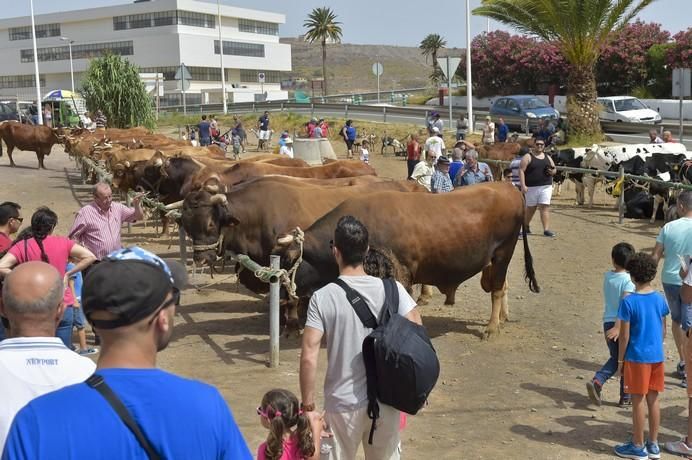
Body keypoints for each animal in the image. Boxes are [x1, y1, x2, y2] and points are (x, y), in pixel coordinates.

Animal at [274, 182, 540, 338]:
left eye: (288, 260)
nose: (279, 296)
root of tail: (507, 186)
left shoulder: (400, 272)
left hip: (503, 252)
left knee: (497, 289)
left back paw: (493, 326)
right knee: (501, 285)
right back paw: (502, 318)